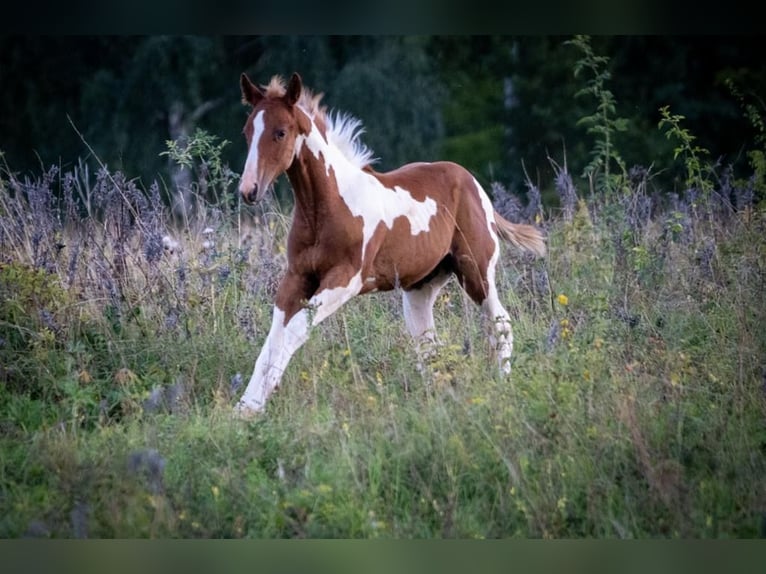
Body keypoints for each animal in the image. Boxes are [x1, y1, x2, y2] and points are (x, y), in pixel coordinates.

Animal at [234, 72, 545, 415]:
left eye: (280, 132)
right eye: (247, 131)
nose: (249, 190)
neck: (327, 206)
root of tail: (471, 181)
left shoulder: (345, 280)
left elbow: (294, 331)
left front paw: (257, 402)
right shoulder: (297, 277)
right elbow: (273, 339)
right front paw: (246, 409)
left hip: (477, 271)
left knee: (500, 323)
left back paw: (501, 385)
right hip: (421, 288)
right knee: (428, 344)